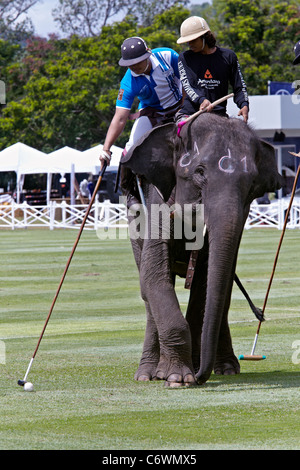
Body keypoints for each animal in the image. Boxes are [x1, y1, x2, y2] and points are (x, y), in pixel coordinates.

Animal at [120, 114, 282, 386]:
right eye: (199, 171)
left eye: (252, 184)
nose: (198, 377)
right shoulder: (156, 201)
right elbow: (153, 275)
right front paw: (177, 377)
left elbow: (205, 282)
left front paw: (183, 375)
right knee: (147, 290)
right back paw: (147, 374)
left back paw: (226, 368)